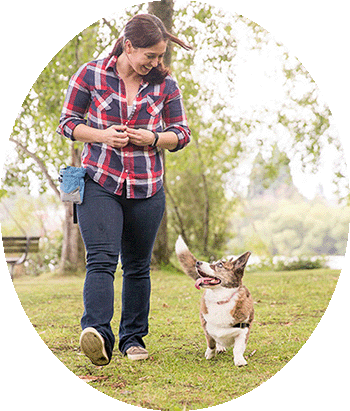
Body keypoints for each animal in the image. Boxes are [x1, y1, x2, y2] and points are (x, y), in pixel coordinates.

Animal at [175, 237, 254, 368]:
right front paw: (210, 354)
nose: (197, 262)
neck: (220, 300)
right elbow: (211, 342)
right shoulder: (206, 327)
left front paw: (239, 360)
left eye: (219, 265)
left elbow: (238, 348)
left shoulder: (244, 330)